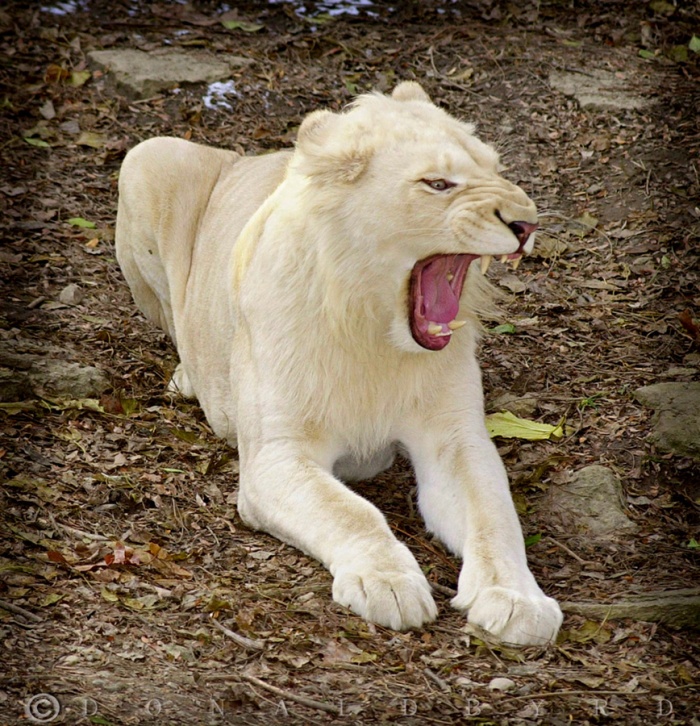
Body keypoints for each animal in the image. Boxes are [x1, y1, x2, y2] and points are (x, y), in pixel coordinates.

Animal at [115, 81, 563, 645]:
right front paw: (389, 581)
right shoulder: (275, 456)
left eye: (497, 168)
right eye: (437, 183)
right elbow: (352, 512)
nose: (526, 223)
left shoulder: (455, 439)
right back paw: (188, 379)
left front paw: (517, 600)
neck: (374, 330)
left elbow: (494, 516)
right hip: (147, 156)